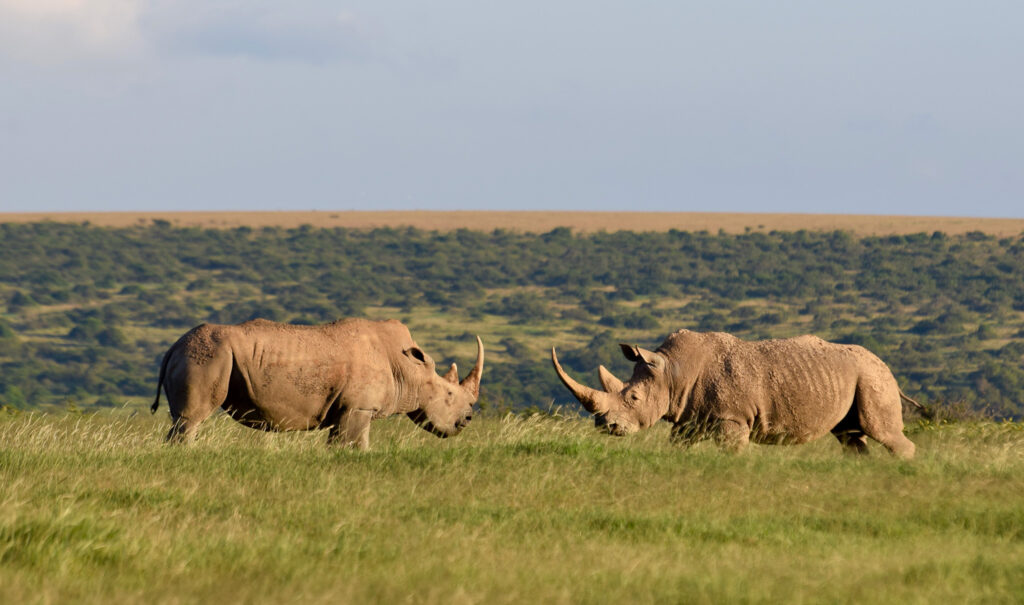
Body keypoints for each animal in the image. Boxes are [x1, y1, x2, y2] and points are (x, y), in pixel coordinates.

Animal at [152, 318, 483, 449]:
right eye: (449, 393)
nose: (468, 419)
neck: (408, 370)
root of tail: (173, 347)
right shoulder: (359, 408)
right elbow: (353, 444)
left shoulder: (348, 409)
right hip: (208, 357)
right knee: (191, 419)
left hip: (202, 355)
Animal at [552, 329, 923, 458]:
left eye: (633, 399)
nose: (607, 427)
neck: (672, 371)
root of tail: (886, 366)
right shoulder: (689, 418)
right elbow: (679, 445)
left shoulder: (732, 417)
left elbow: (733, 450)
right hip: (857, 377)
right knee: (850, 435)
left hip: (873, 378)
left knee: (880, 431)